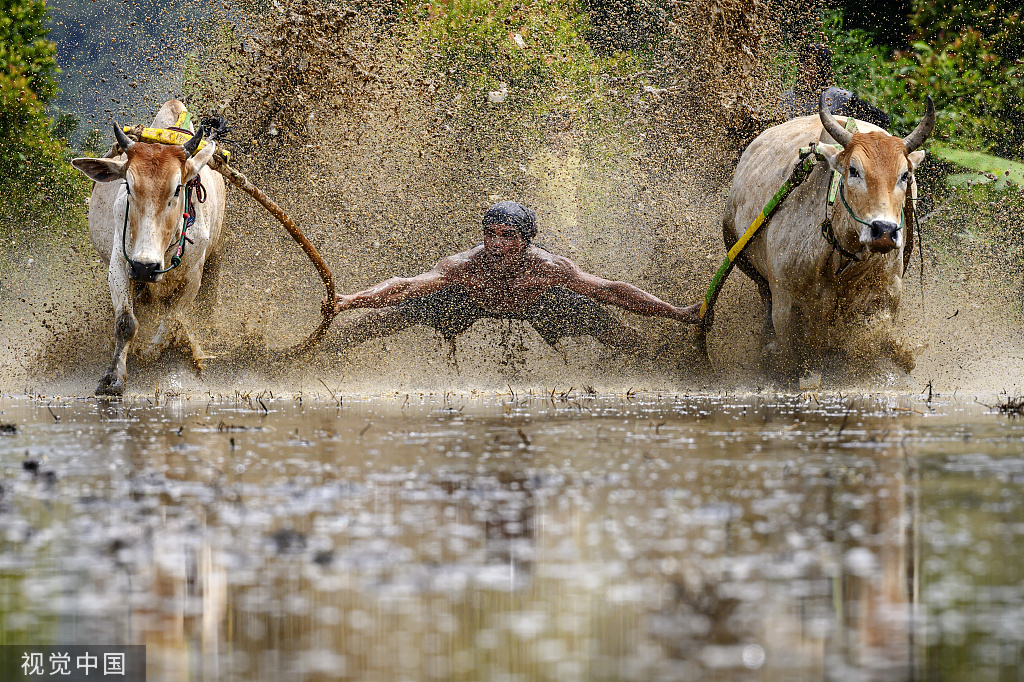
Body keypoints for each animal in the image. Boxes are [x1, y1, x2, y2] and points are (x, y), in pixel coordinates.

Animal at [71, 99, 225, 393]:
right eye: (129, 187)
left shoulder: (194, 278)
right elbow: (125, 323)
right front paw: (114, 378)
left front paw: (153, 352)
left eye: (177, 188)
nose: (146, 266)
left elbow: (173, 319)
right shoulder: (120, 266)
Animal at [720, 92, 937, 378]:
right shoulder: (786, 309)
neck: (840, 259)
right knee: (763, 296)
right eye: (854, 171)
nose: (884, 231)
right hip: (742, 256)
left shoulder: (884, 301)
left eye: (904, 175)